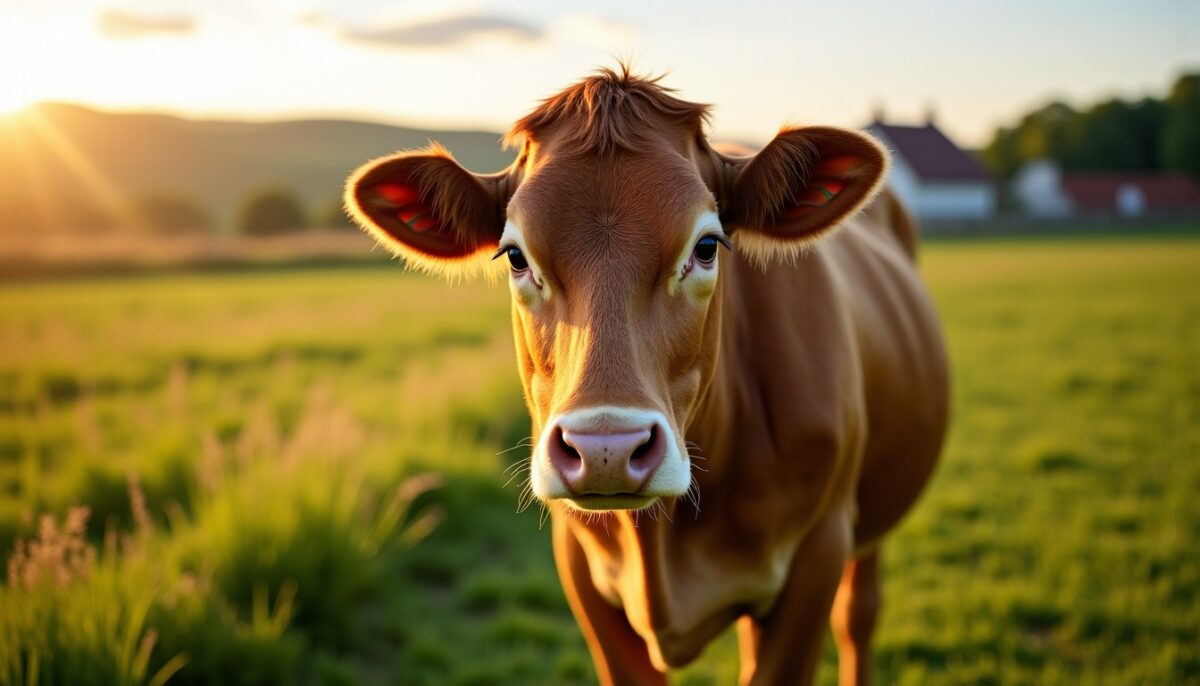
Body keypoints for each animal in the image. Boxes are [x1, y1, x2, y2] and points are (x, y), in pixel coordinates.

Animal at [345, 66, 949, 686]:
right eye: (515, 256)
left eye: (706, 246)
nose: (605, 449)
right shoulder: (581, 567)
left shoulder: (818, 551)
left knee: (858, 615)